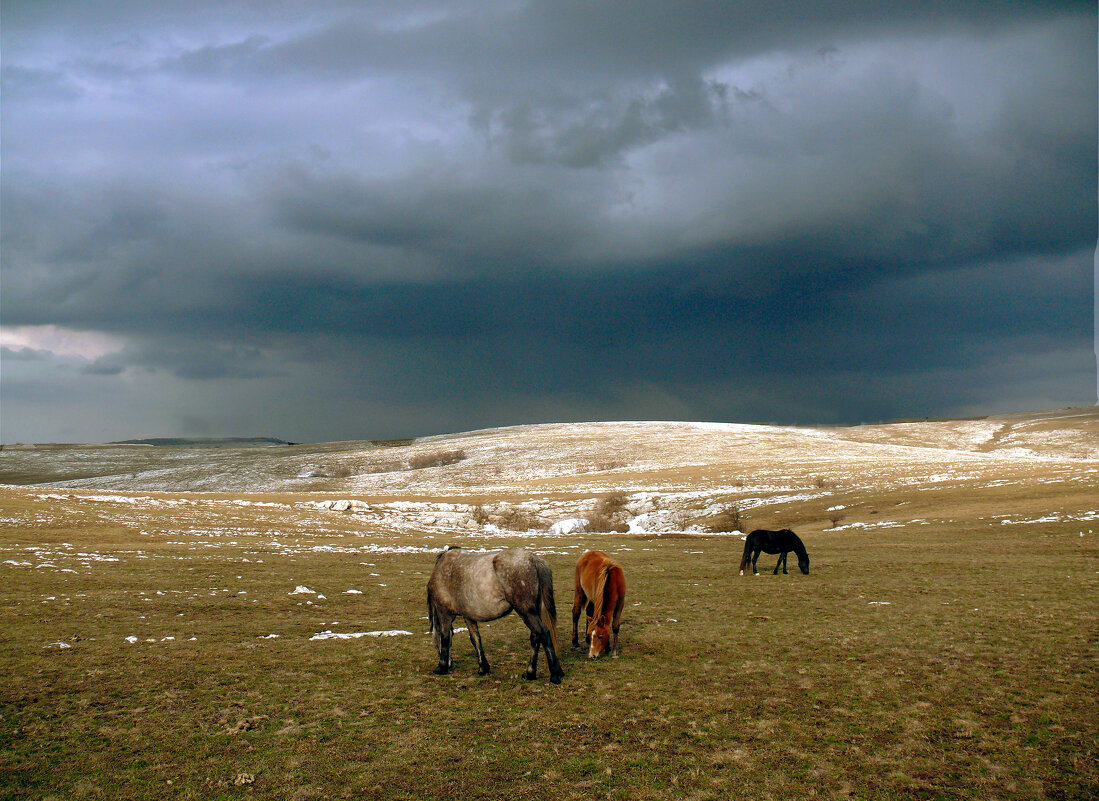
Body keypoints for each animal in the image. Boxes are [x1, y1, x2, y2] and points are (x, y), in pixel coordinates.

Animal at [426, 547, 567, 685]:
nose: (450, 664)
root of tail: (533, 559)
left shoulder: (444, 613)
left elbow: (445, 637)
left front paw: (441, 667)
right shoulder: (468, 615)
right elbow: (475, 639)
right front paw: (483, 668)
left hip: (527, 612)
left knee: (544, 633)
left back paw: (555, 675)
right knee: (535, 637)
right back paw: (530, 673)